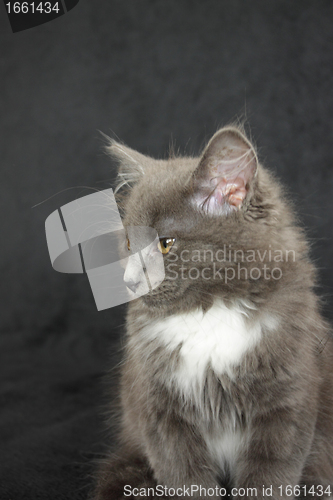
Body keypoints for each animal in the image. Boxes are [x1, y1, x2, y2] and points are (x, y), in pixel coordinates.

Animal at [92, 126, 332, 500]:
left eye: (165, 244)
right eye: (129, 244)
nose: (130, 281)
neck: (209, 312)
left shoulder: (288, 402)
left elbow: (269, 477)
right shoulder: (161, 412)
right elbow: (185, 477)